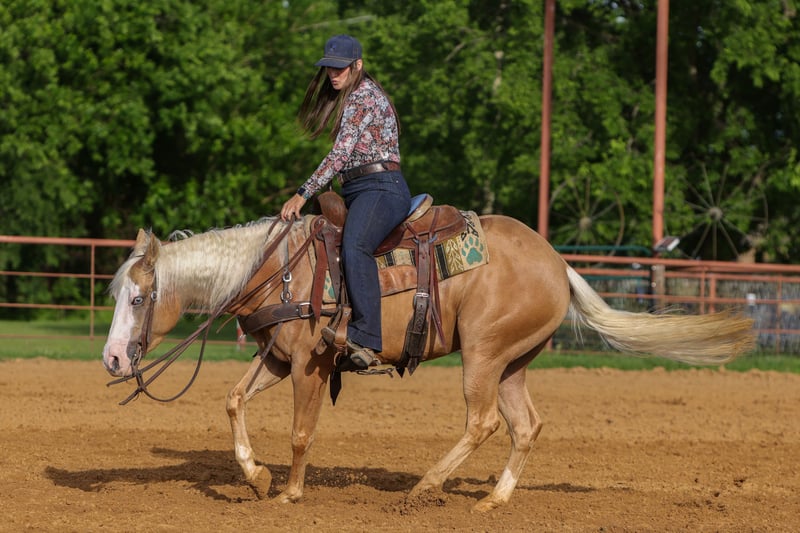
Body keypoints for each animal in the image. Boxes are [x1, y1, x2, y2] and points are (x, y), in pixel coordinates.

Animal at [102, 212, 755, 512]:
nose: (110, 358)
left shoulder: (311, 363)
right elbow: (233, 400)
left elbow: (300, 432)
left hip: (484, 353)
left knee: (483, 421)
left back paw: (424, 487)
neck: (279, 269)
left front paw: (289, 492)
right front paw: (257, 476)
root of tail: (557, 262)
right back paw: (494, 500)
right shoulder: (278, 360)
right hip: (513, 362)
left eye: (137, 298)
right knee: (525, 425)